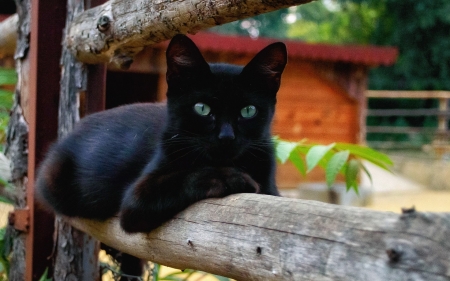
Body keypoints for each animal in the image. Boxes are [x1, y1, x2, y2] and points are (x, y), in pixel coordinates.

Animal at [36, 34, 288, 233]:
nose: (226, 137)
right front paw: (233, 177)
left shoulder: (272, 191)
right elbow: (185, 177)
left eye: (248, 111)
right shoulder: (136, 201)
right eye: (202, 108)